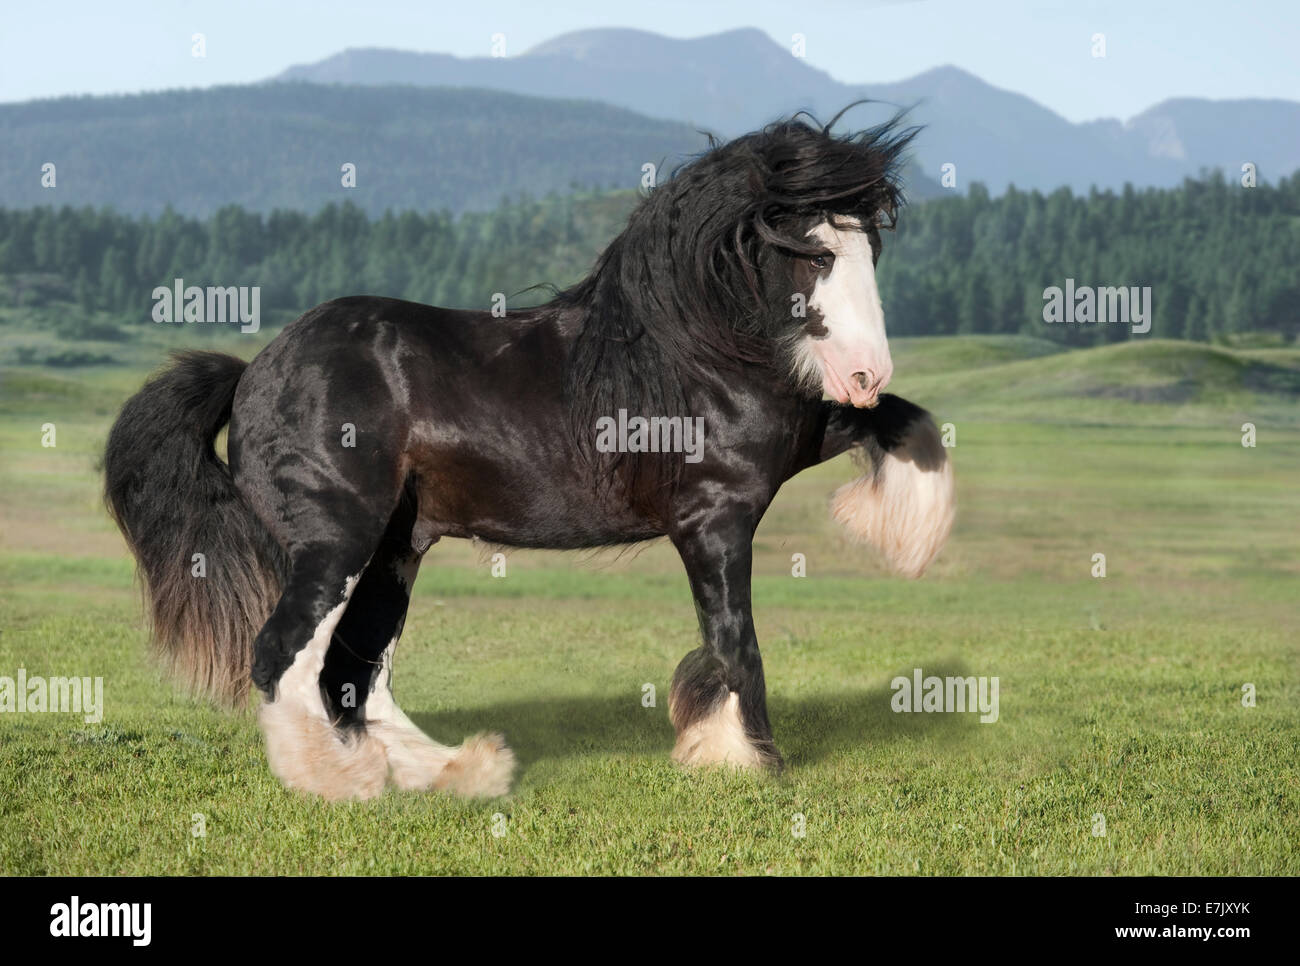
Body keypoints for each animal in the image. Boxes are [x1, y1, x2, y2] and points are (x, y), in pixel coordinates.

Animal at [104, 109, 955, 801]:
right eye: (808, 251)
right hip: (335, 543)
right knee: (287, 657)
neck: (685, 356)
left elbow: (900, 423)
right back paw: (341, 781)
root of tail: (253, 371)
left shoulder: (789, 444)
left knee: (356, 674)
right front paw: (750, 761)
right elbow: (735, 642)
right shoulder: (715, 519)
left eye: (869, 247)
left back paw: (458, 771)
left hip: (394, 549)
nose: (864, 374)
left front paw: (911, 535)